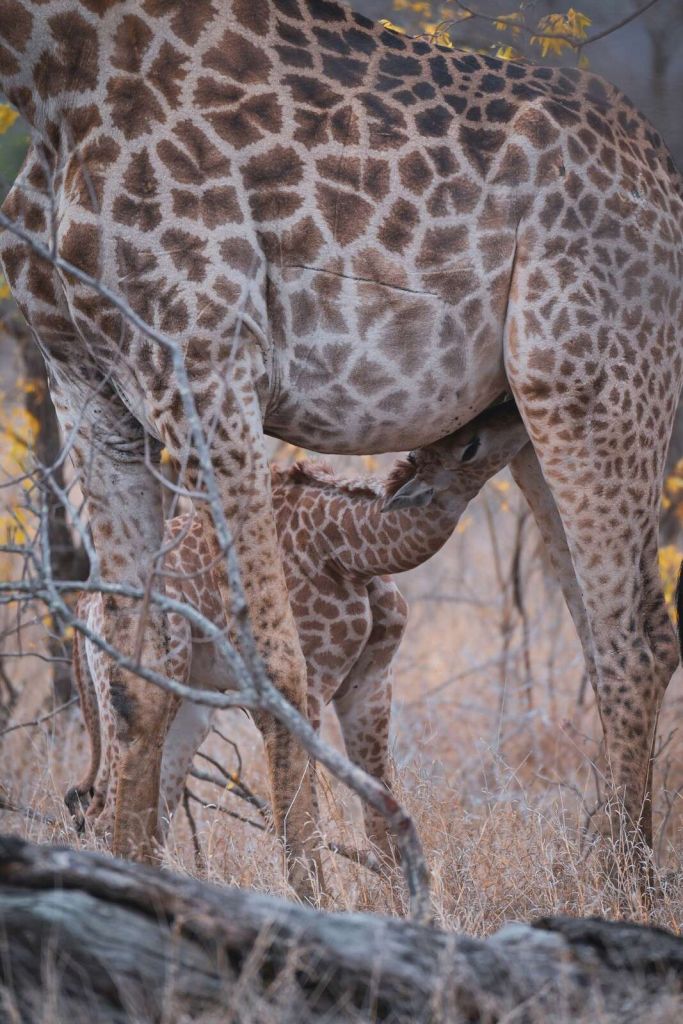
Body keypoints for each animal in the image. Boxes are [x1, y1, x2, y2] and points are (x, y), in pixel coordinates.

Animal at [67, 401, 530, 859]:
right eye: (470, 446)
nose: (513, 414)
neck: (352, 554)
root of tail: (85, 602)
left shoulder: (372, 678)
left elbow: (381, 824)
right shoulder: (308, 685)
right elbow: (309, 816)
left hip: (192, 702)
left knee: (149, 811)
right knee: (104, 815)